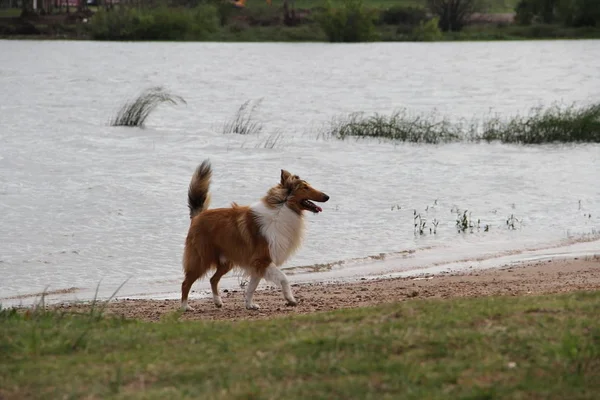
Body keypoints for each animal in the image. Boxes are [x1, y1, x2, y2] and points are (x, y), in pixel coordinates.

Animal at [180, 161, 328, 310]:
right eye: (305, 187)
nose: (327, 196)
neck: (282, 208)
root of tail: (198, 216)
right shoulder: (263, 259)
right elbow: (284, 278)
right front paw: (290, 299)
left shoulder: (257, 264)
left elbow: (252, 287)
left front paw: (249, 305)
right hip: (200, 260)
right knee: (185, 283)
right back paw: (185, 307)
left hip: (226, 261)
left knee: (213, 279)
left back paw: (218, 302)